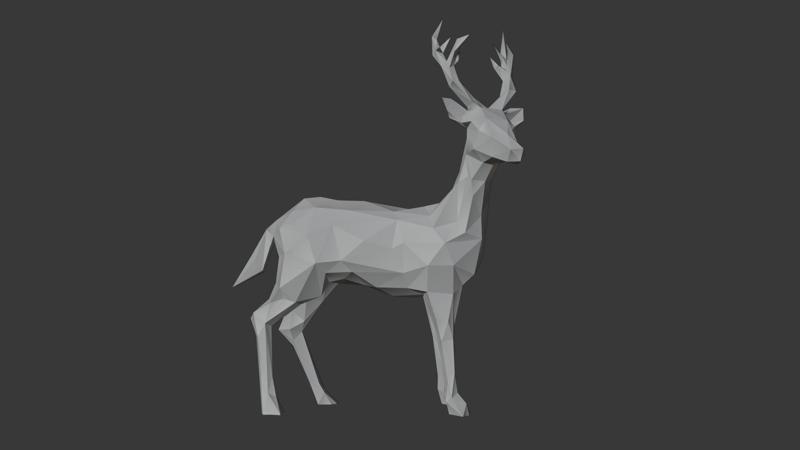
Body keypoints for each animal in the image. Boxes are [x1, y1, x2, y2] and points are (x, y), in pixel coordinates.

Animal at [233, 22, 524, 417]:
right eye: (475, 124)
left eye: (508, 123)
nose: (517, 150)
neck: (450, 226)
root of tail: (277, 224)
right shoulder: (438, 283)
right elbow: (445, 337)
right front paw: (458, 404)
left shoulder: (449, 287)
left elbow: (442, 336)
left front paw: (444, 396)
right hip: (296, 272)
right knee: (260, 315)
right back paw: (271, 406)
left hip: (323, 281)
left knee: (291, 325)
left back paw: (324, 397)